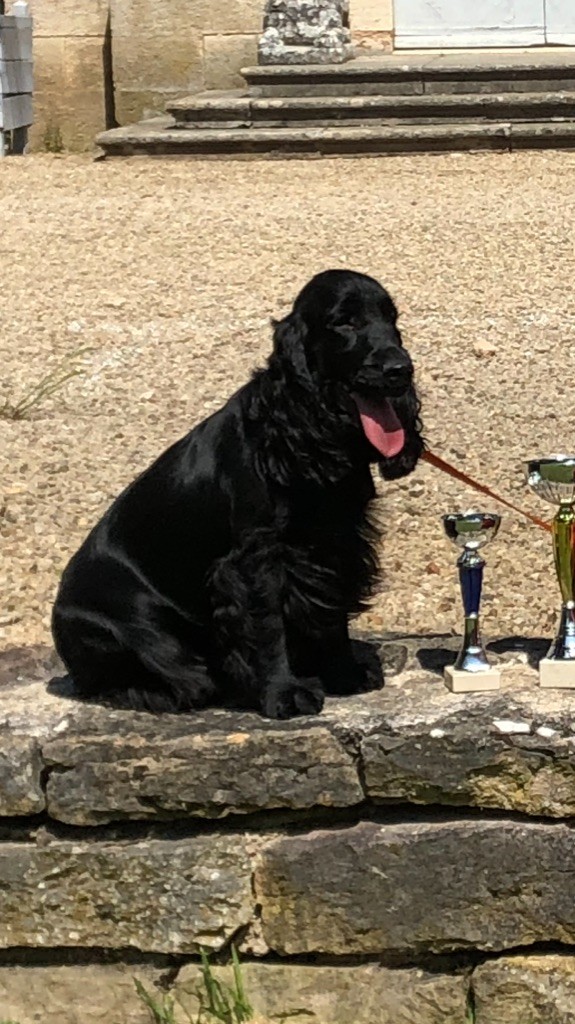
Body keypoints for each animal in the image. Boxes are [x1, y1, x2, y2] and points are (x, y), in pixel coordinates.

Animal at [52, 269, 423, 719]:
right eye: (344, 322)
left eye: (392, 318)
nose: (400, 369)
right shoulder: (255, 557)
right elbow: (268, 626)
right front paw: (285, 692)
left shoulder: (336, 544)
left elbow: (330, 614)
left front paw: (345, 674)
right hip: (131, 635)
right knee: (146, 680)